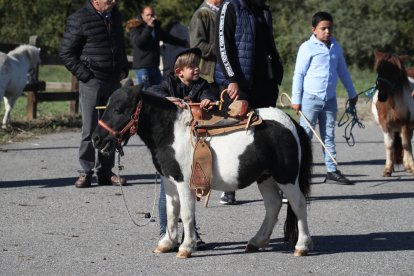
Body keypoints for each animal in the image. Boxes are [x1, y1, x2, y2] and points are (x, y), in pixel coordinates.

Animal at [93, 81, 314, 258]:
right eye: (107, 106)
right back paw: (256, 241)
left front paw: (186, 247)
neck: (171, 132)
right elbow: (172, 211)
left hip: (286, 177)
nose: (97, 139)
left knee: (298, 204)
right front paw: (167, 243)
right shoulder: (170, 181)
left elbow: (186, 213)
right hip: (265, 177)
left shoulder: (184, 183)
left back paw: (302, 246)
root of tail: (290, 123)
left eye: (120, 109)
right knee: (273, 205)